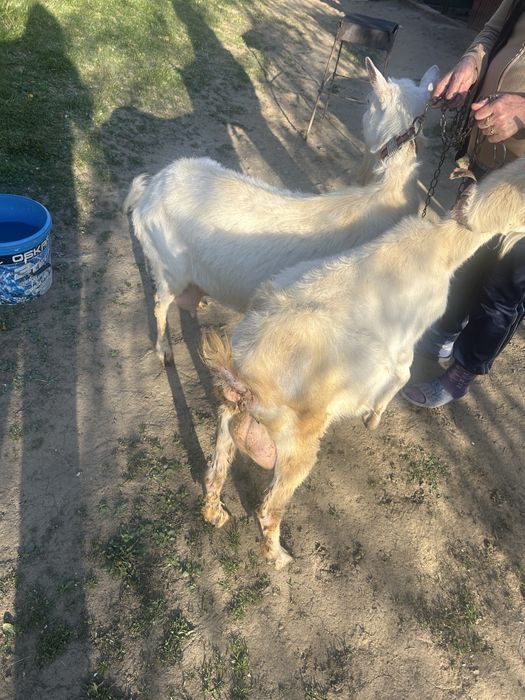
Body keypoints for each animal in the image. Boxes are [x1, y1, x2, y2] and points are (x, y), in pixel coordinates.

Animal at [124, 59, 439, 364]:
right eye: (370, 101)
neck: (388, 186)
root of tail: (150, 189)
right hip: (168, 266)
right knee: (159, 305)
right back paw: (164, 351)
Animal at [201, 156, 525, 569]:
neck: (438, 248)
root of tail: (241, 376)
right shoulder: (406, 336)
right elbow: (402, 374)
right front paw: (373, 416)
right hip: (296, 445)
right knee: (269, 509)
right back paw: (280, 558)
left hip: (227, 423)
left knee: (214, 474)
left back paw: (216, 515)